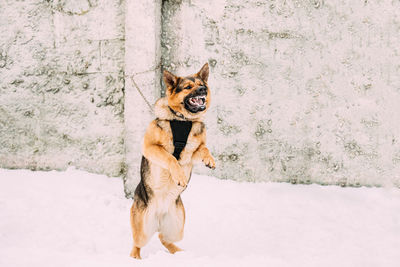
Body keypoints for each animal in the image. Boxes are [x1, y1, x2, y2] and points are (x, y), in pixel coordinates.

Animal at [130, 62, 216, 260]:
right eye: (188, 87)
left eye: (202, 85)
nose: (203, 90)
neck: (183, 120)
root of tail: (159, 216)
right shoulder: (150, 147)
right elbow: (170, 157)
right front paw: (179, 176)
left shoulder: (192, 152)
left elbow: (204, 148)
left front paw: (209, 160)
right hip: (142, 229)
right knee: (137, 242)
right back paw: (134, 257)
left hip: (177, 228)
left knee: (163, 238)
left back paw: (179, 253)